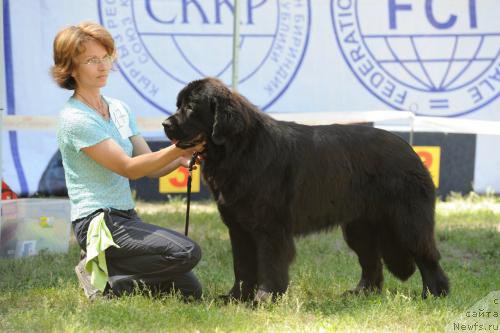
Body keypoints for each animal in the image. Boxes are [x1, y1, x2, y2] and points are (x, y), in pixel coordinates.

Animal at [162, 76, 452, 302]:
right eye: (178, 105)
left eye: (190, 107)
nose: (165, 124)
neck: (238, 149)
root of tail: (410, 150)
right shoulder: (239, 227)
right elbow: (242, 266)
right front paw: (235, 298)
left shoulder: (270, 227)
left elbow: (270, 263)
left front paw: (264, 298)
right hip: (359, 227)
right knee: (371, 261)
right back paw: (362, 293)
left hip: (407, 221)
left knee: (426, 256)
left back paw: (434, 294)